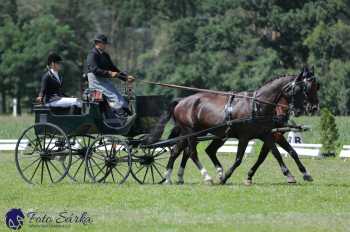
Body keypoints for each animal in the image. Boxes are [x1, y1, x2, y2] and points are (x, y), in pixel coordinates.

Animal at [148, 68, 320, 184]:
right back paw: (207, 177)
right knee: (191, 153)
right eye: (305, 88)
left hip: (195, 134)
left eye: (316, 86)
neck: (258, 106)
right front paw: (226, 177)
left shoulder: (266, 134)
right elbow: (239, 159)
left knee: (179, 151)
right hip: (192, 133)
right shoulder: (247, 137)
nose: (314, 108)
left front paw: (295, 175)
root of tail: (181, 101)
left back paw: (170, 177)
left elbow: (279, 153)